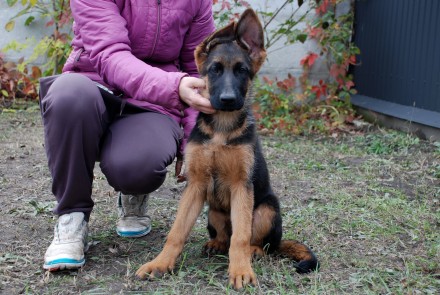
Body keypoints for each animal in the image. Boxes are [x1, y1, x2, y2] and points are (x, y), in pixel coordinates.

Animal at [136, 8, 318, 290]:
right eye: (215, 70)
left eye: (242, 70)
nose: (228, 100)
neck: (222, 129)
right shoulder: (195, 185)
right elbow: (176, 232)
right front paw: (161, 263)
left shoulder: (241, 186)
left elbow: (240, 237)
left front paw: (240, 270)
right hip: (214, 212)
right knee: (225, 235)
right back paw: (216, 244)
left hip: (266, 209)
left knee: (262, 243)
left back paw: (254, 251)